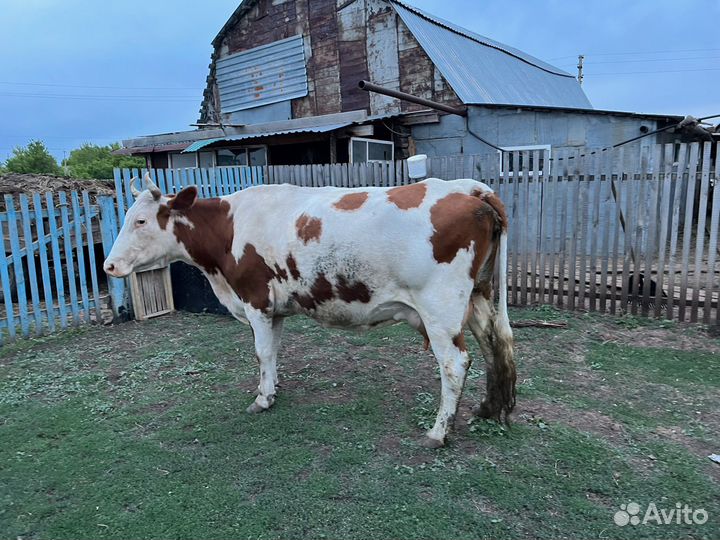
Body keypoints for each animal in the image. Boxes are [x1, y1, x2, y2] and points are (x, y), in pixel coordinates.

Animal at [104, 173, 516, 448]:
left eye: (141, 220)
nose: (108, 265)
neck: (229, 229)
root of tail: (471, 189)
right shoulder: (275, 308)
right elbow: (272, 352)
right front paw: (271, 388)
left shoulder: (255, 299)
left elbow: (261, 351)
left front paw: (262, 399)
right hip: (478, 296)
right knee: (496, 346)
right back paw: (488, 409)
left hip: (440, 308)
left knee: (455, 363)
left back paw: (438, 431)